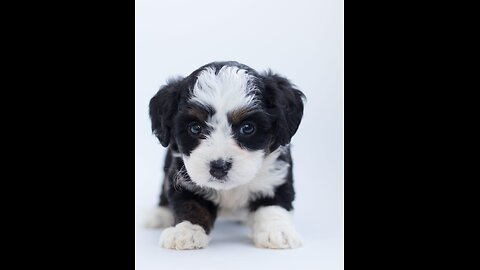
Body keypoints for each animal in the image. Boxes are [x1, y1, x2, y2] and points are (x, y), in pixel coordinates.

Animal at [144, 60, 306, 249]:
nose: (219, 167)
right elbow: (190, 204)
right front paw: (186, 230)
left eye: (247, 128)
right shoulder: (183, 178)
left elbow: (273, 204)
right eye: (195, 128)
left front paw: (277, 231)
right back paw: (159, 214)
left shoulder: (275, 174)